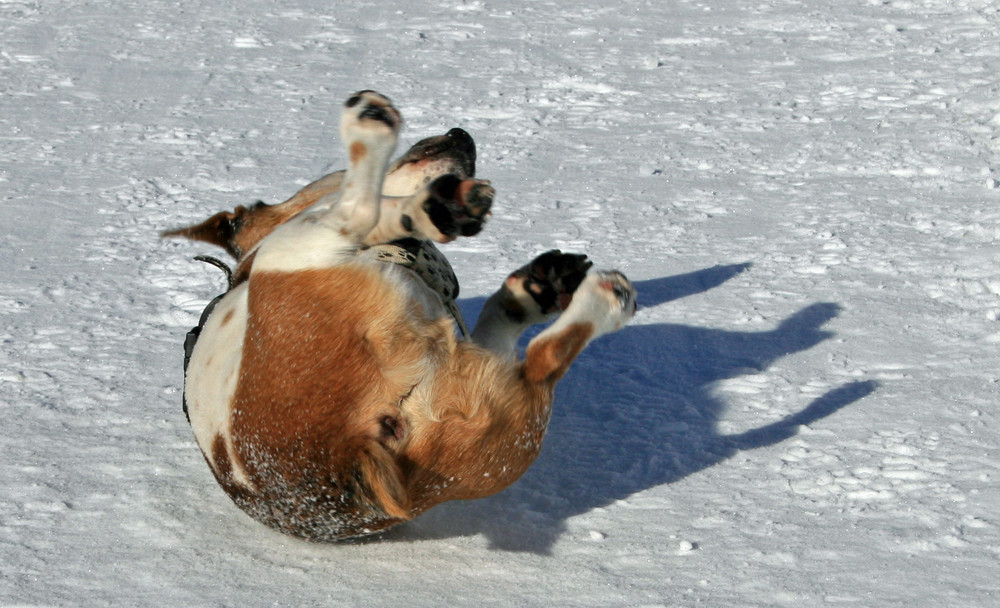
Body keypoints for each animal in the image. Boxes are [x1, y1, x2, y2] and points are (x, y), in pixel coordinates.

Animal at [163, 91, 632, 540]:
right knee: (358, 209)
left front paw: (534, 288)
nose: (460, 134)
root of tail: (347, 450)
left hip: (502, 434)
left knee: (542, 363)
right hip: (295, 252)